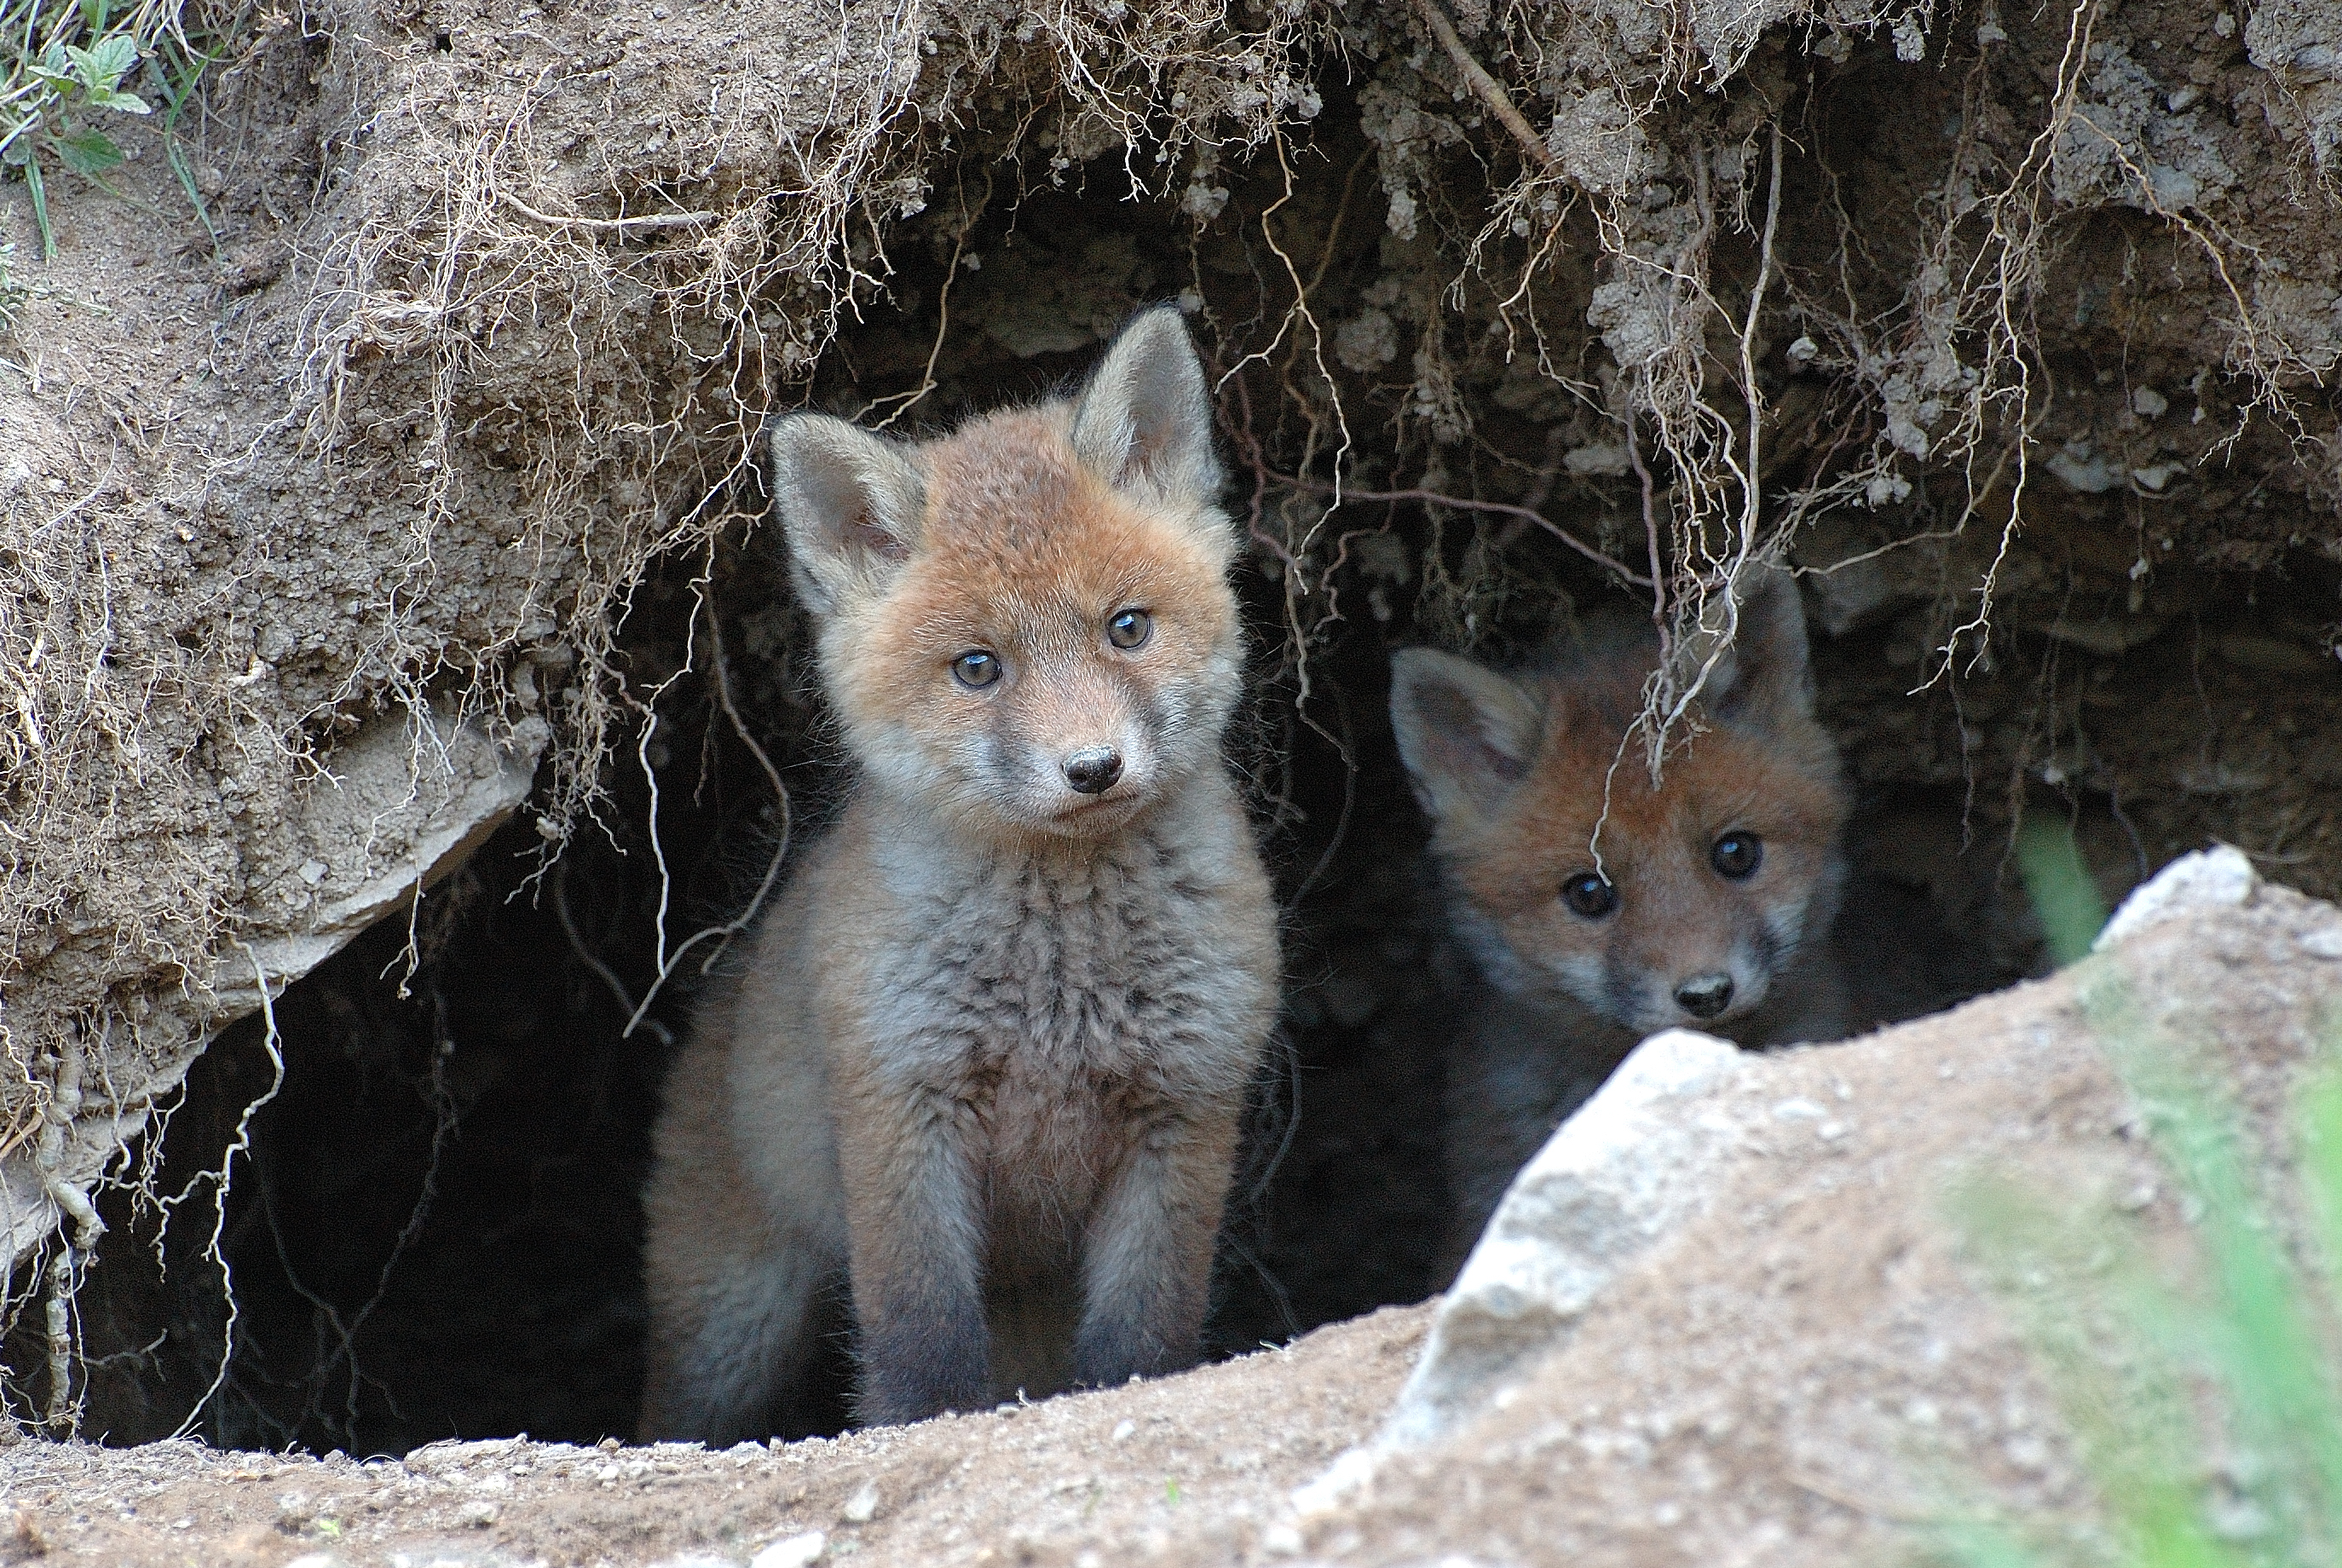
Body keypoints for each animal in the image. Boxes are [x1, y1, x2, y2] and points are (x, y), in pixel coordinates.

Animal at [637, 308, 1281, 1442]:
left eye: (1127, 626)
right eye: (979, 667)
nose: (1092, 768)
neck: (1060, 991)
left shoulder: (1184, 1114)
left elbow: (1143, 1337)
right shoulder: (903, 1113)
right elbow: (920, 1337)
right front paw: (916, 1424)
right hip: (733, 1323)